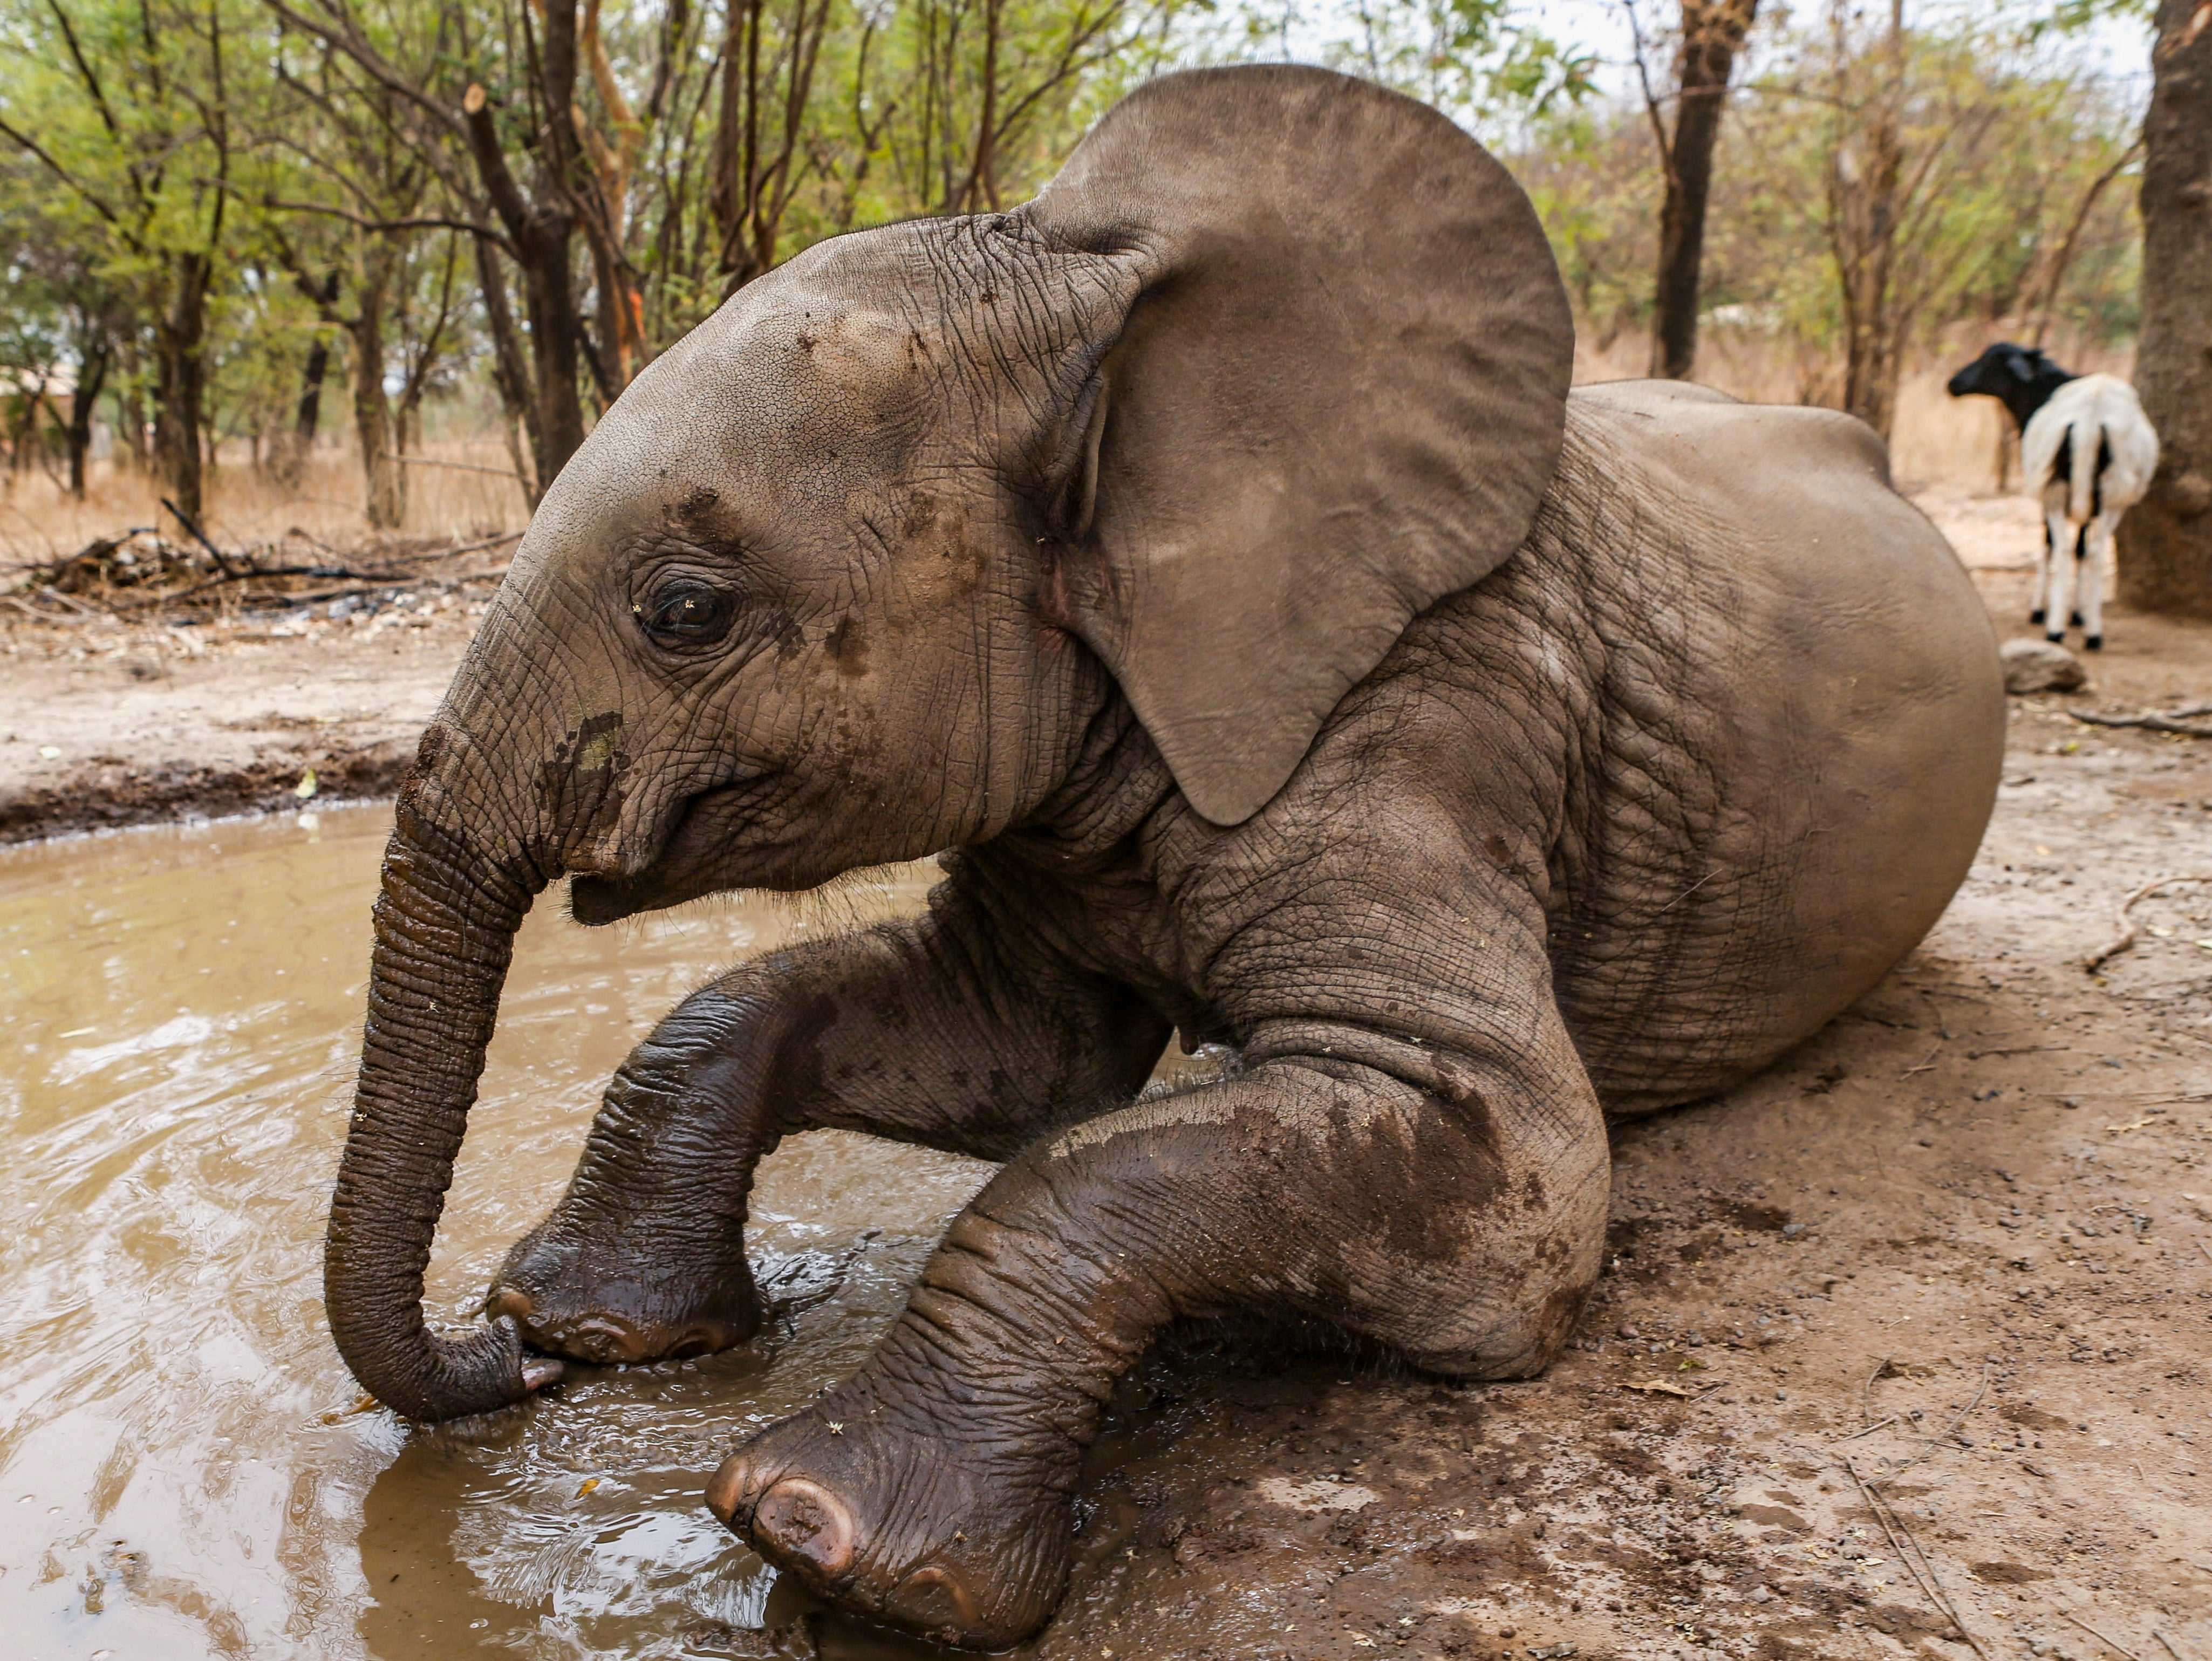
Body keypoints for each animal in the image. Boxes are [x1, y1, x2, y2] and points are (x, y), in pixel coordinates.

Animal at [324, 65, 2003, 1649]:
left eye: (685, 610)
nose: (506, 1367)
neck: (1090, 298)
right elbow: (1016, 1059)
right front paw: (596, 1330)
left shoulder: (1435, 699)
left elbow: (1497, 1187)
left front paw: (827, 1540)